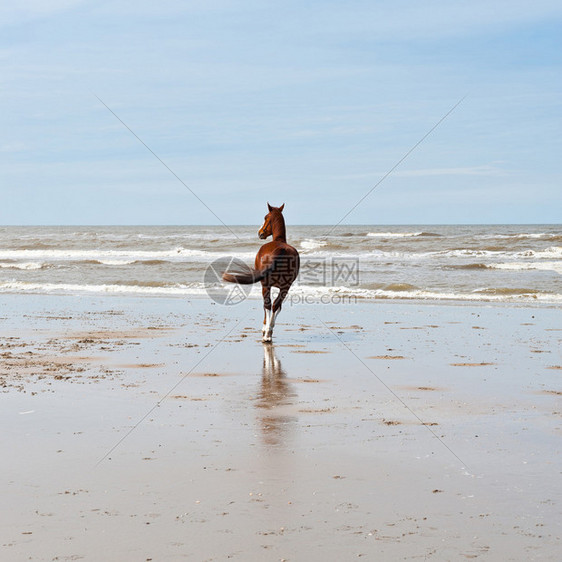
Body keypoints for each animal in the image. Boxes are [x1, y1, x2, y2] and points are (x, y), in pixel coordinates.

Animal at [222, 202, 300, 342]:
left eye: (265, 217)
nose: (260, 233)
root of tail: (281, 250)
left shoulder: (266, 285)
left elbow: (267, 306)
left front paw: (266, 328)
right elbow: (277, 307)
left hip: (267, 285)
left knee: (268, 305)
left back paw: (267, 334)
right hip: (285, 287)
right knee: (275, 305)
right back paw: (269, 332)